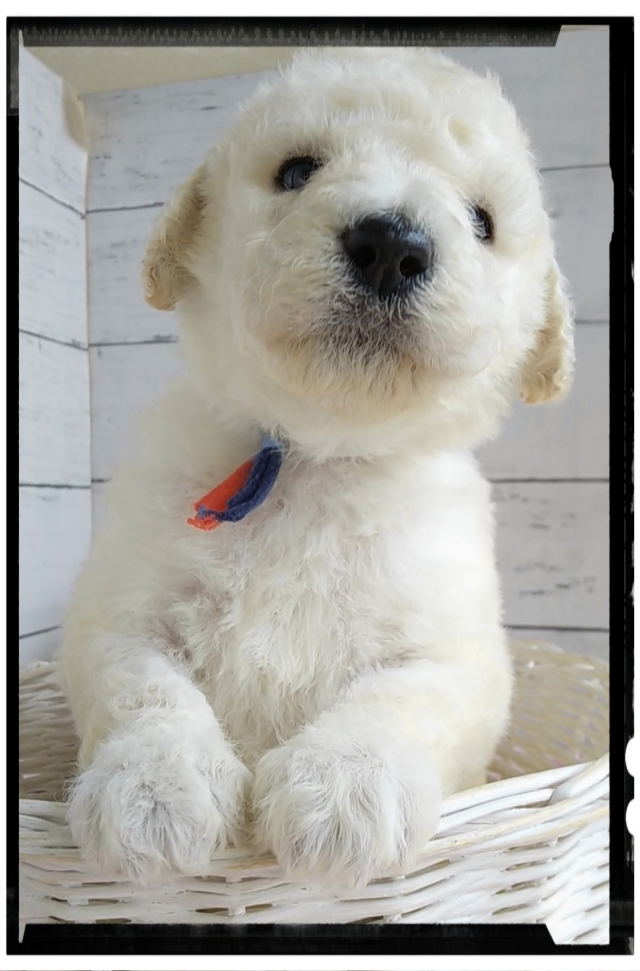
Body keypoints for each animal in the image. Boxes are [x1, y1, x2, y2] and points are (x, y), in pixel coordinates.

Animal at [59, 47, 574, 888]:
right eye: (297, 171)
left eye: (483, 221)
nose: (391, 244)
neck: (317, 454)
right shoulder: (122, 610)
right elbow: (145, 688)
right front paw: (155, 791)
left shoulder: (457, 652)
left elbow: (401, 696)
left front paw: (345, 789)